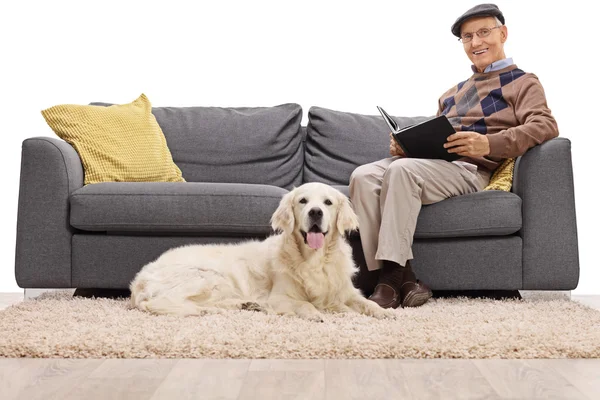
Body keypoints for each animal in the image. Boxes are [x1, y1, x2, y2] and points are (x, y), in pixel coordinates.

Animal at [130, 183, 394, 320]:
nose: (315, 212)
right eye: (303, 201)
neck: (313, 259)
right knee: (163, 302)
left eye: (327, 202)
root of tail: (138, 281)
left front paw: (386, 312)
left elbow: (366, 303)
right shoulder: (279, 297)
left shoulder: (344, 291)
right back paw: (209, 310)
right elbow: (303, 304)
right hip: (205, 276)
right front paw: (314, 313)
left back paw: (243, 305)